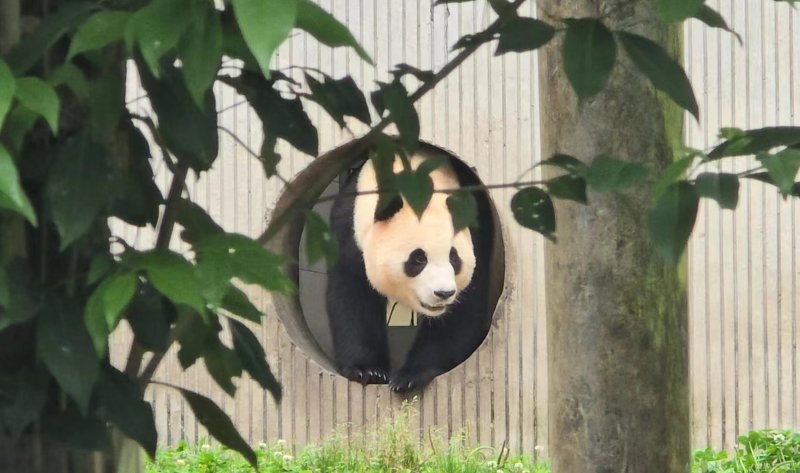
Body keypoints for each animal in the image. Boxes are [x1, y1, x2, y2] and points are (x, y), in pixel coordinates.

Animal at [326, 142, 494, 392]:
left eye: (454, 258)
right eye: (418, 259)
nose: (443, 293)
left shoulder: (476, 229)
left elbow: (463, 311)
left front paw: (410, 376)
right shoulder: (350, 228)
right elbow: (352, 295)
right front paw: (367, 370)